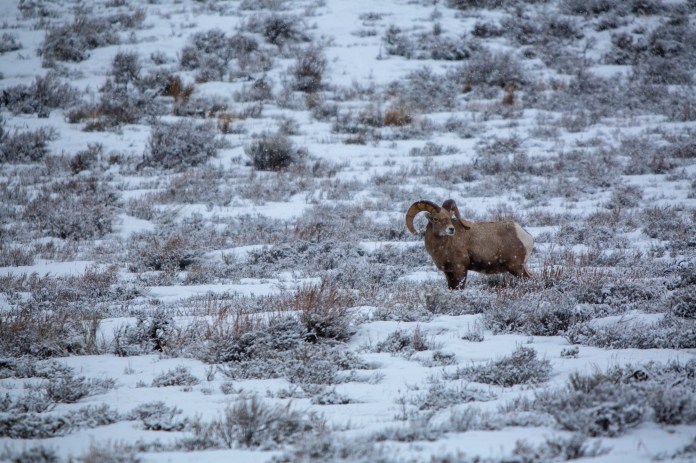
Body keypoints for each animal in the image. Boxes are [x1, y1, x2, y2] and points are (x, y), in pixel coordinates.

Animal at [405, 199, 534, 289]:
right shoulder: (449, 273)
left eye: (449, 218)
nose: (451, 229)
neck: (443, 247)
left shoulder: (460, 269)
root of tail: (526, 236)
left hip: (516, 267)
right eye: (436, 219)